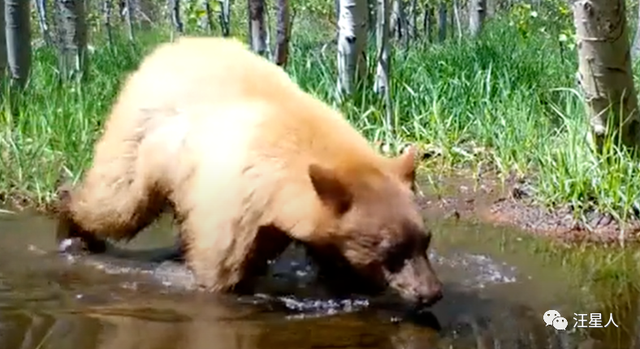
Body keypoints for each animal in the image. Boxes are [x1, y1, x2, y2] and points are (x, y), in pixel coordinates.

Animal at [55, 36, 442, 308]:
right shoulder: (235, 204)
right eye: (392, 250)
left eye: (425, 240)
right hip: (139, 139)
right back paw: (73, 223)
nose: (432, 293)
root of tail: (162, 51)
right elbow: (219, 271)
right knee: (117, 204)